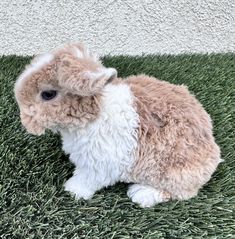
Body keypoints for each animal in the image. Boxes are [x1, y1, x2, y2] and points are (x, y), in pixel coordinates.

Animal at [13, 43, 221, 207]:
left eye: (48, 94)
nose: (24, 120)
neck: (95, 110)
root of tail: (213, 152)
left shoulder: (99, 164)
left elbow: (86, 180)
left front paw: (72, 190)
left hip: (174, 175)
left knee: (180, 193)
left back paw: (141, 194)